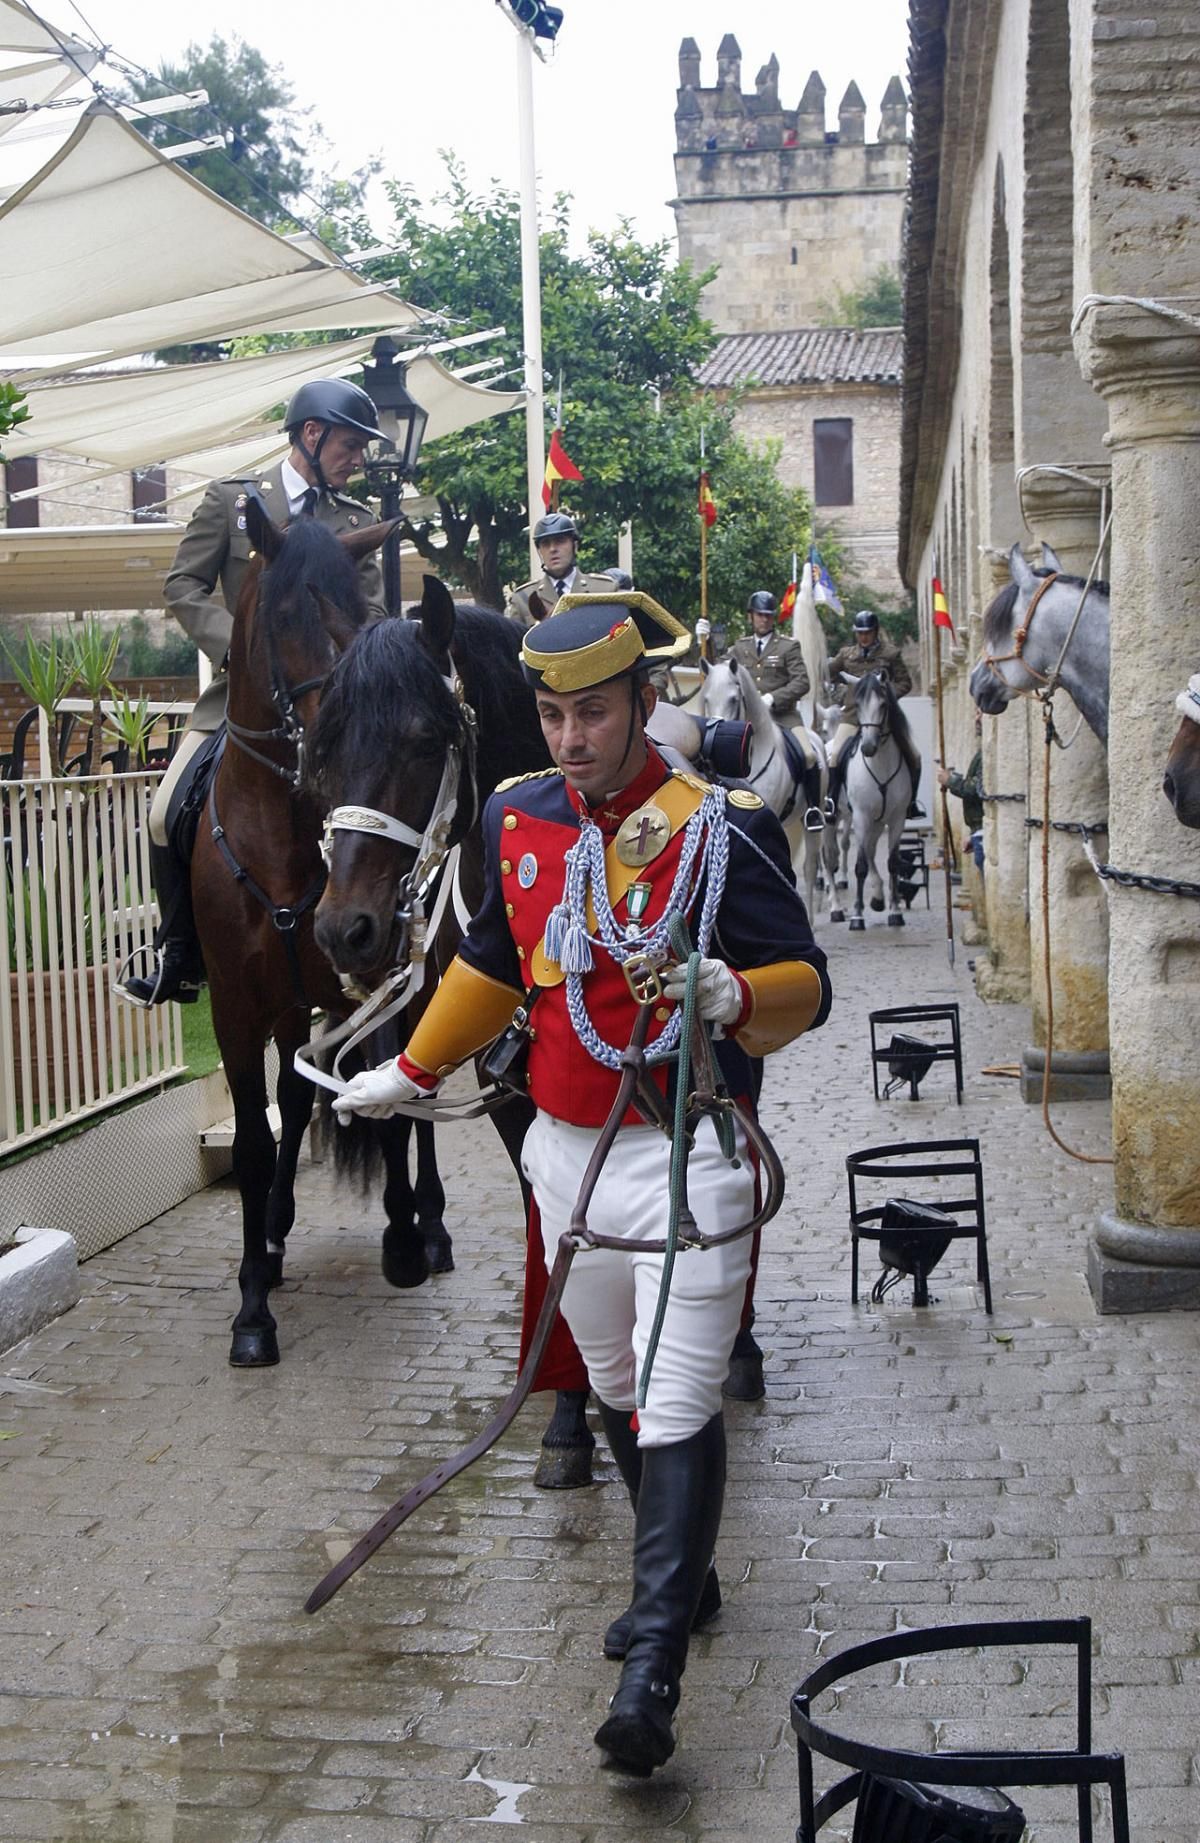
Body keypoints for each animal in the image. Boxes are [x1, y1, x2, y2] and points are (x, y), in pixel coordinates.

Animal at [844, 670, 921, 928]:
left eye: (883, 704)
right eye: (857, 704)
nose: (868, 747)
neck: (880, 765)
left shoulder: (897, 819)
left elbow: (893, 863)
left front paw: (895, 910)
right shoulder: (860, 816)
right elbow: (859, 866)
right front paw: (857, 916)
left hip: (877, 823)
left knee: (870, 849)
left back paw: (879, 898)